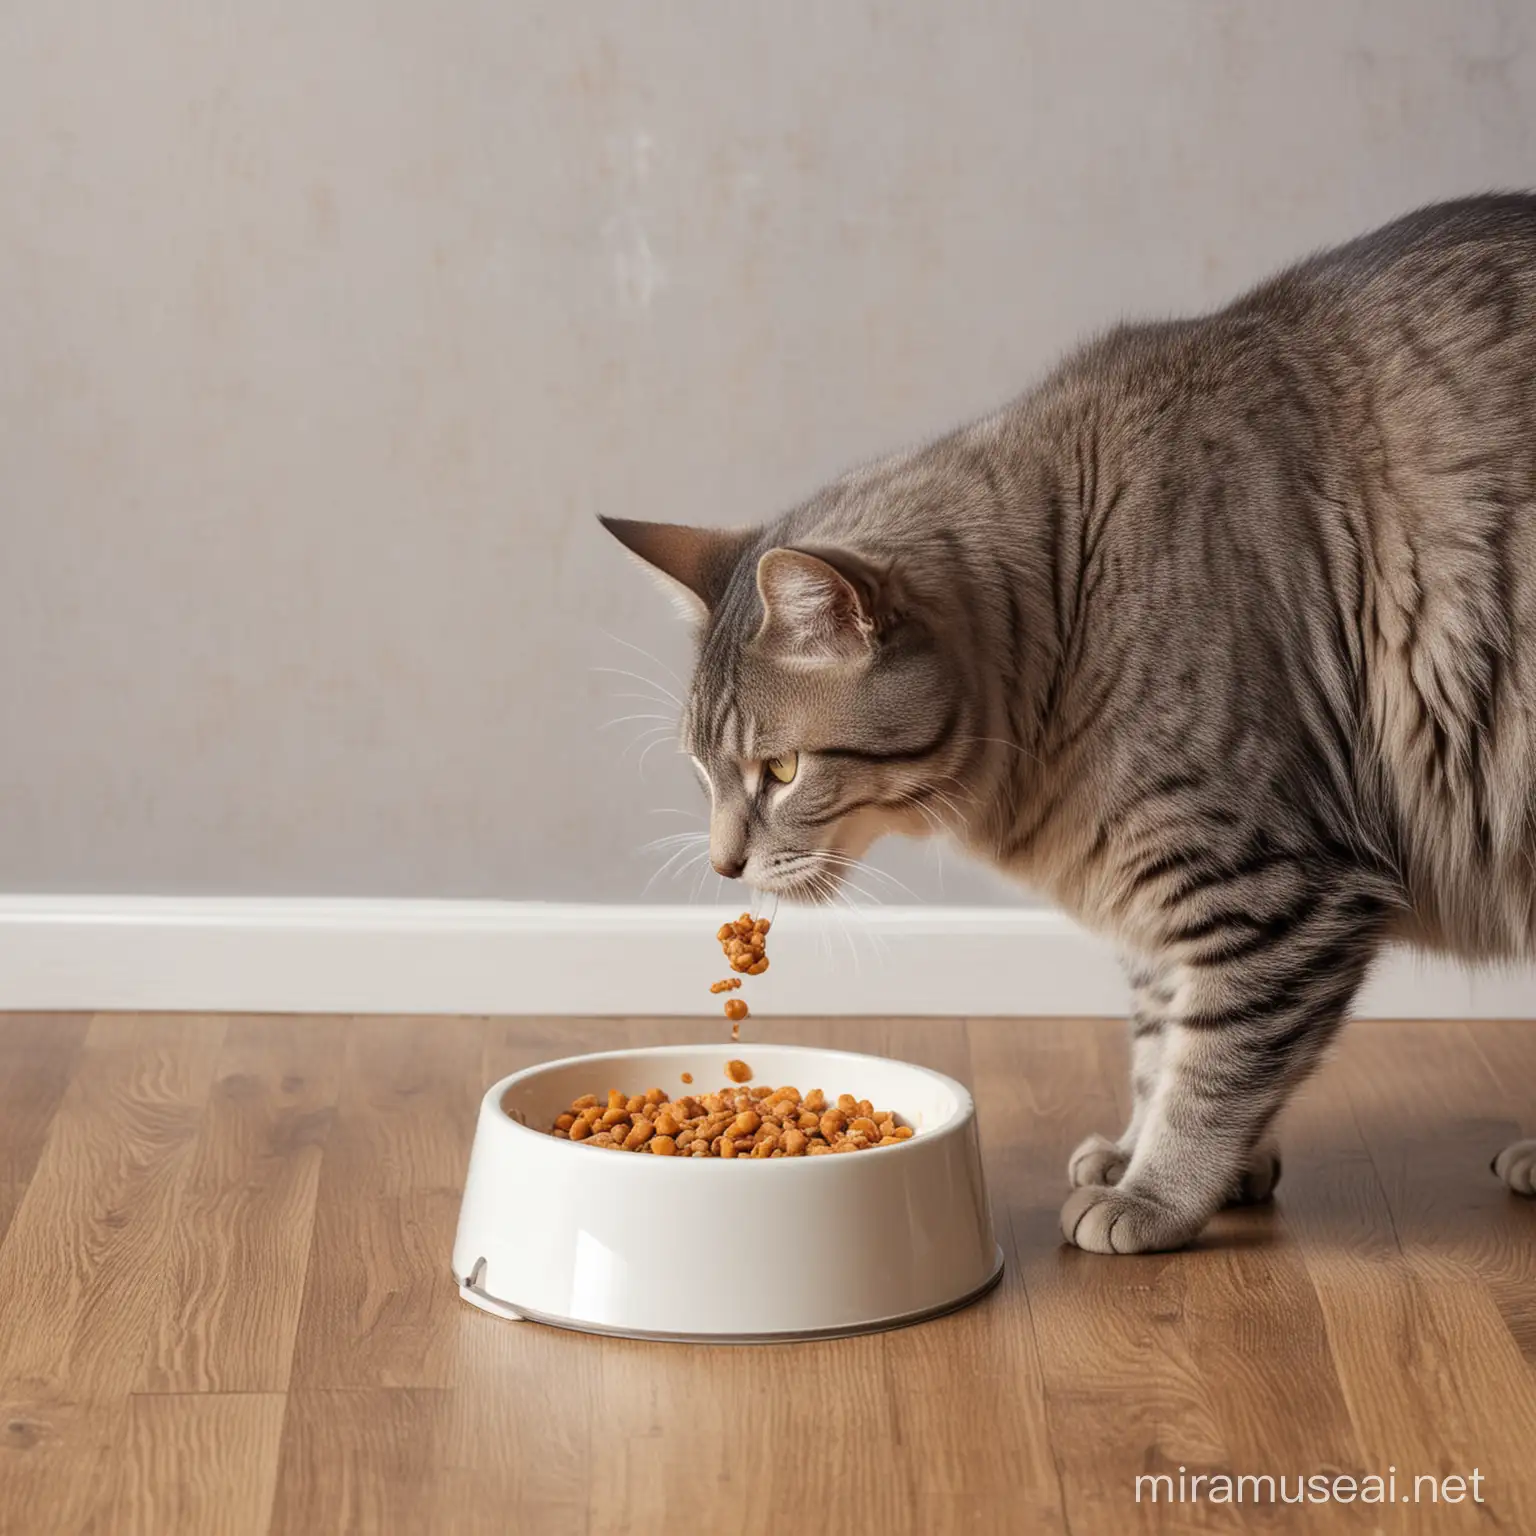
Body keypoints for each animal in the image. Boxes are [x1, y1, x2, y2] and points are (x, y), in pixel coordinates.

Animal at [599, 192, 1536, 1253]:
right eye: (703, 771)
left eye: (785, 770)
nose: (723, 866)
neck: (1074, 599)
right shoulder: (1170, 902)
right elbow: (1161, 1040)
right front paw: (1143, 1154)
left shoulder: (1276, 884)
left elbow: (1213, 1067)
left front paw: (1160, 1192)